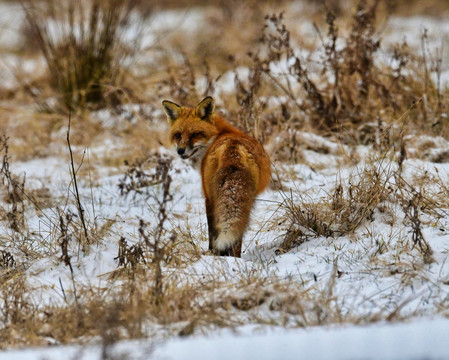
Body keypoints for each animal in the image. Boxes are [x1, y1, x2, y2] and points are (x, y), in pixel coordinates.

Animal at [164, 95, 272, 258]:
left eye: (195, 134)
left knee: (215, 232)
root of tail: (233, 149)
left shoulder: (207, 197)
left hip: (213, 197)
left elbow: (211, 231)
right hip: (247, 199)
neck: (220, 135)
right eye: (178, 135)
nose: (180, 151)